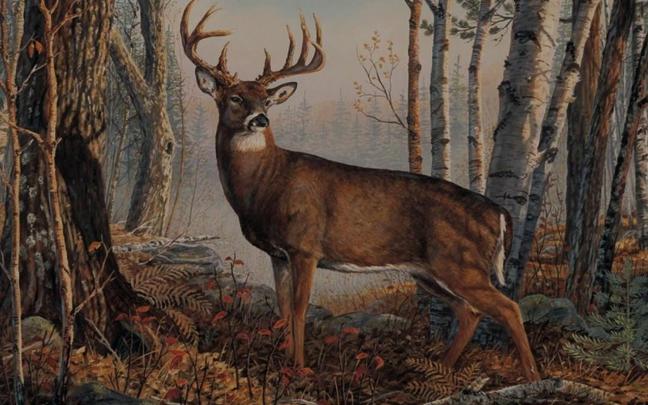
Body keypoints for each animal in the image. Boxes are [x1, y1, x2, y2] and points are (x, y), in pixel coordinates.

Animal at [180, 0, 540, 382]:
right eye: (235, 97)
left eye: (267, 100)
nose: (260, 120)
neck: (265, 185)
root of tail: (499, 213)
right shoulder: (278, 253)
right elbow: (282, 307)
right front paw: (284, 364)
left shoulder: (305, 246)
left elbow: (300, 308)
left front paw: (300, 368)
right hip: (429, 271)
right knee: (469, 311)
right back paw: (439, 370)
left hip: (461, 263)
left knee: (508, 307)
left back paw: (533, 377)